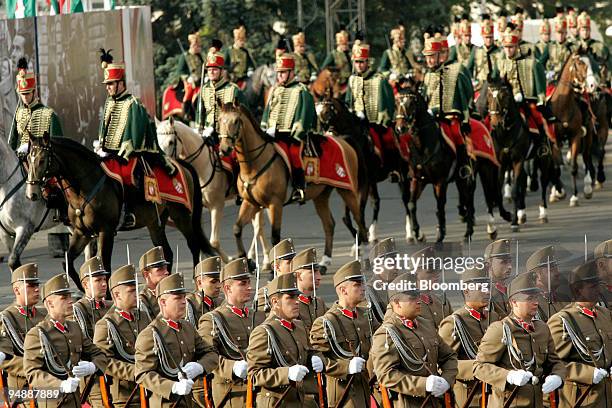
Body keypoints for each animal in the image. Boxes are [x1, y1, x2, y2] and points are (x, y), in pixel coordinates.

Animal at [25, 135, 216, 292]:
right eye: (28, 159)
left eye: (42, 160)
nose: (31, 193)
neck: (84, 187)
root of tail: (179, 164)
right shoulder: (82, 233)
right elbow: (68, 261)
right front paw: (82, 288)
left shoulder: (106, 231)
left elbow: (104, 264)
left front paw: (106, 295)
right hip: (155, 222)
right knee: (167, 252)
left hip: (180, 215)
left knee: (194, 245)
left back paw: (195, 281)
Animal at [157, 117, 272, 268]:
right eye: (157, 142)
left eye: (171, 141)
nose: (166, 164)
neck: (203, 165)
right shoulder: (198, 209)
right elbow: (201, 237)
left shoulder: (217, 206)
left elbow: (213, 241)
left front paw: (229, 260)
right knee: (259, 227)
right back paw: (263, 259)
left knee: (258, 227)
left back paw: (257, 259)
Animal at [218, 101, 366, 274]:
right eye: (219, 120)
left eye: (236, 121)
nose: (224, 149)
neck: (253, 164)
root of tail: (342, 140)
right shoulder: (251, 203)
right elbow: (237, 229)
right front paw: (246, 261)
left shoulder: (274, 204)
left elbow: (275, 236)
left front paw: (273, 271)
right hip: (321, 195)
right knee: (329, 225)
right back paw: (325, 261)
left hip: (347, 190)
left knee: (359, 220)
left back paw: (364, 257)